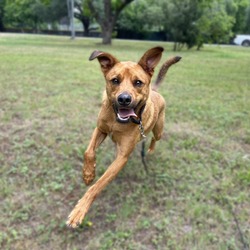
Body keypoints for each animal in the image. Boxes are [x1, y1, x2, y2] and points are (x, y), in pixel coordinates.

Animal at [66, 46, 180, 228]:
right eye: (115, 80)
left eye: (138, 82)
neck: (117, 120)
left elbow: (97, 186)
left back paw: (150, 149)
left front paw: (80, 210)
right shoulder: (101, 129)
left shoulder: (122, 157)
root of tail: (155, 91)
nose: (124, 99)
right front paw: (88, 174)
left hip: (159, 129)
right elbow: (88, 152)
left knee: (154, 138)